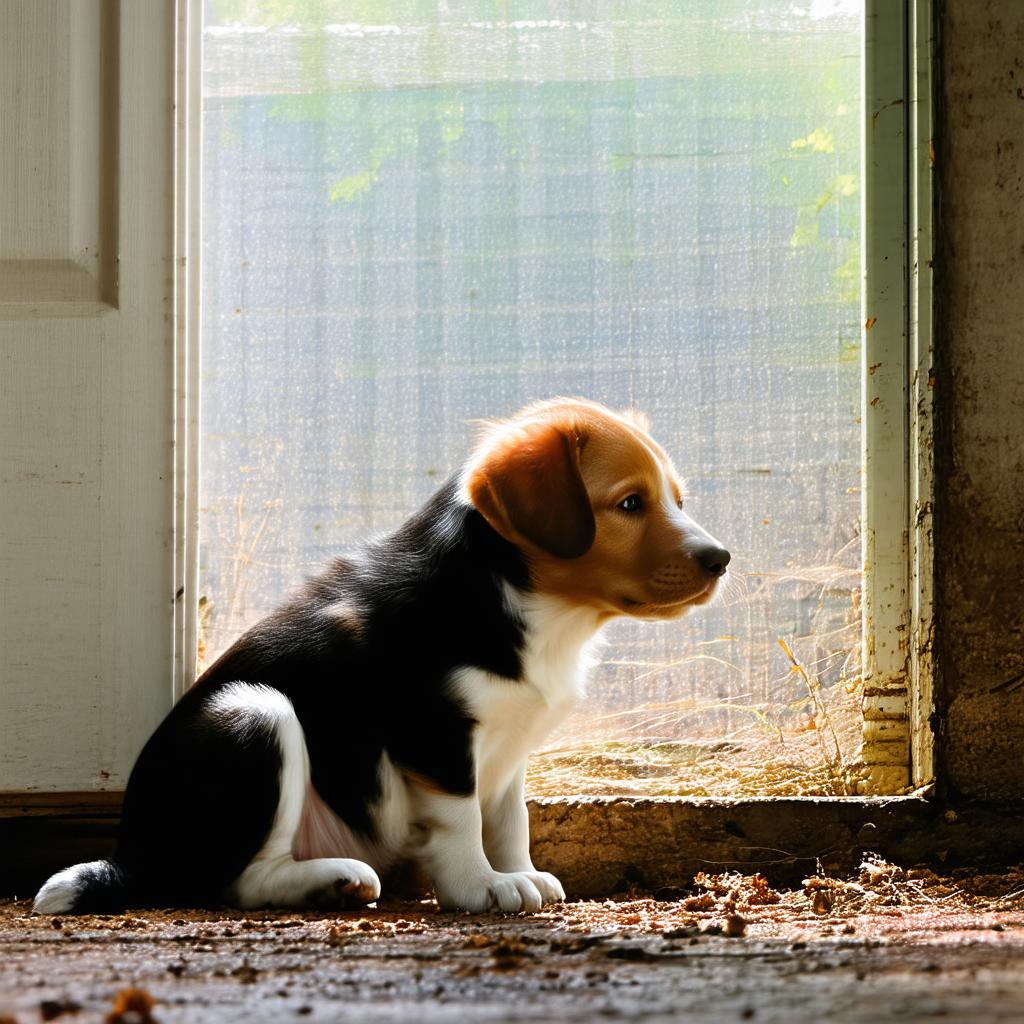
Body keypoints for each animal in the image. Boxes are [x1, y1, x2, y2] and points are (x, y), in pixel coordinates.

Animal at [36, 397, 729, 913]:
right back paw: (332, 880)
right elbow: (461, 820)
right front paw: (483, 885)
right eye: (630, 503)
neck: (535, 605)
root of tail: (130, 855)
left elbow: (509, 818)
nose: (721, 559)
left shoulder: (509, 746)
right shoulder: (436, 734)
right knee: (239, 882)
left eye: (676, 499)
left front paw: (521, 871)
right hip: (255, 713)